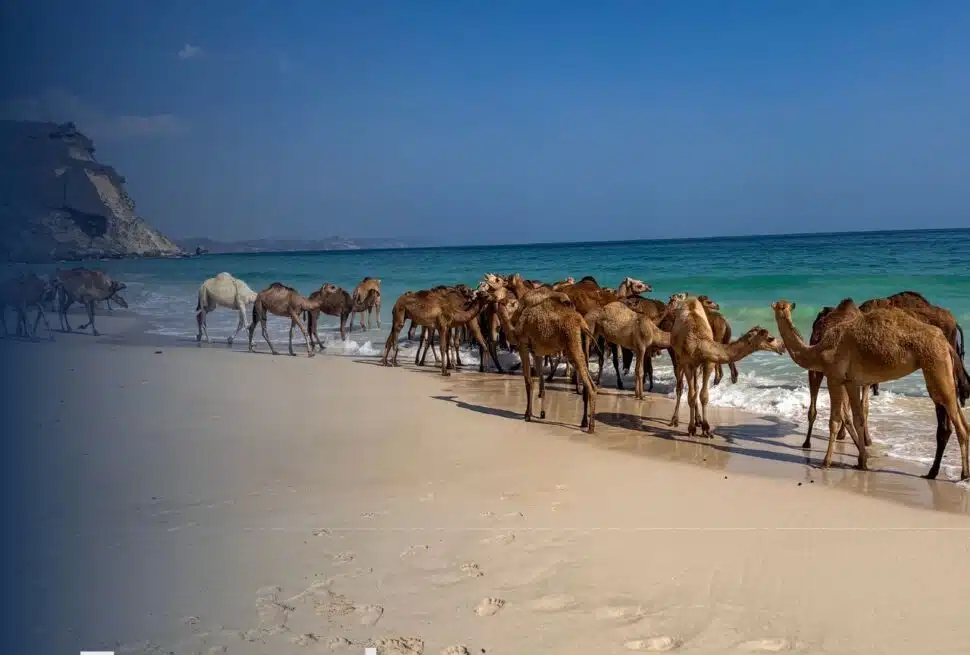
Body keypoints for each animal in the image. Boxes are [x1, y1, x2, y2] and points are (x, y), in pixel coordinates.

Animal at [669, 296, 785, 437]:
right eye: (770, 338)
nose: (782, 346)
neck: (699, 343)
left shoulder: (708, 362)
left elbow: (703, 396)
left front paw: (706, 428)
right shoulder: (687, 362)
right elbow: (690, 396)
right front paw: (691, 429)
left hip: (697, 365)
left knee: (695, 387)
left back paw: (698, 420)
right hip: (678, 357)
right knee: (680, 387)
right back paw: (675, 420)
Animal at [771, 299, 970, 480]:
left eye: (781, 306)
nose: (780, 308)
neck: (818, 350)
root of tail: (946, 343)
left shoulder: (834, 377)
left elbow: (834, 420)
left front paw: (826, 462)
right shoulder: (851, 382)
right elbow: (857, 418)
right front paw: (862, 462)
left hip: (936, 364)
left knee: (956, 420)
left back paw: (962, 474)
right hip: (942, 368)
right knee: (960, 417)